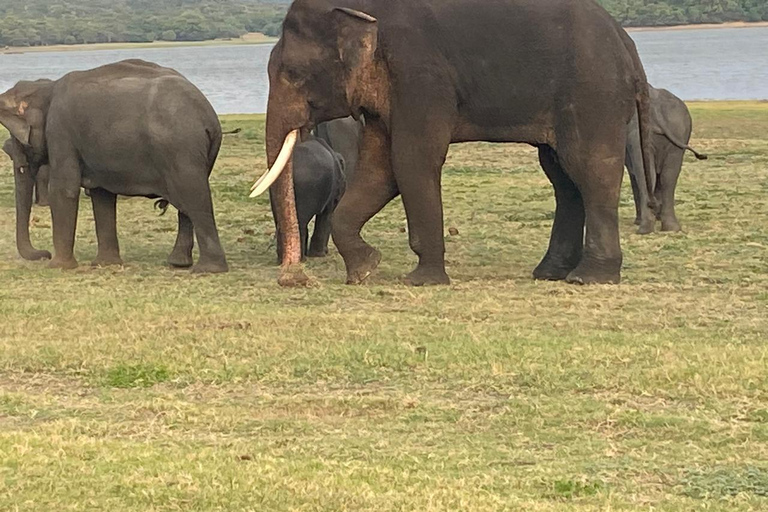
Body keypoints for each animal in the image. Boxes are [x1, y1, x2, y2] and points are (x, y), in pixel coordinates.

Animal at [0, 59, 228, 272]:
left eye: (17, 138)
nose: (44, 253)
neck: (47, 87)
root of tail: (209, 117)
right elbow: (102, 195)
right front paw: (105, 263)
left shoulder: (61, 131)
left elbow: (64, 189)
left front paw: (58, 267)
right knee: (187, 204)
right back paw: (179, 263)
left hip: (180, 150)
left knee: (193, 196)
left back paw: (208, 269)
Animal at [250, 0, 656, 288]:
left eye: (293, 73)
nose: (293, 278)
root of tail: (628, 43)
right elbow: (381, 171)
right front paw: (365, 270)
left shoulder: (420, 74)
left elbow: (412, 161)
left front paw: (422, 280)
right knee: (562, 178)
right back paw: (549, 273)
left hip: (594, 94)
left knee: (590, 170)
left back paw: (590, 277)